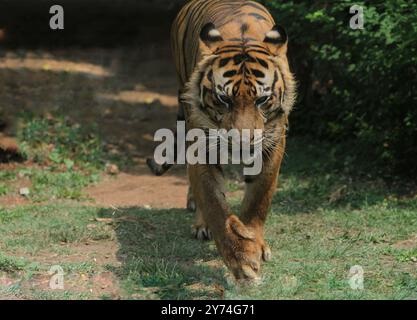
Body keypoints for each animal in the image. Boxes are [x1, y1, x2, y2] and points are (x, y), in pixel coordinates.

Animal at [150, 0, 296, 280]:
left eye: (262, 100)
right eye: (224, 99)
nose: (242, 142)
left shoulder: (273, 143)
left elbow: (258, 199)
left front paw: (254, 243)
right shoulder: (202, 145)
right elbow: (214, 204)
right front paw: (242, 261)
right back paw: (201, 225)